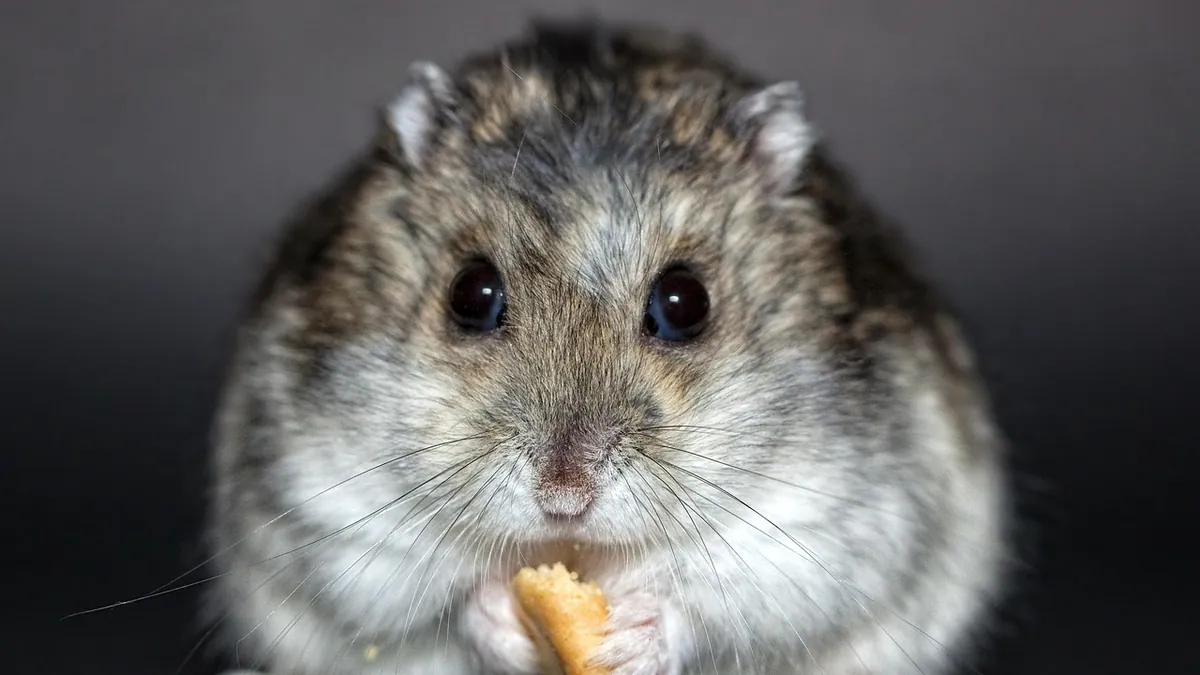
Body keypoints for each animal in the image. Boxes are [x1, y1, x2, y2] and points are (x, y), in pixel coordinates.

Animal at [204, 20, 1010, 675]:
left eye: (685, 303)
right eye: (471, 294)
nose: (564, 498)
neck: (579, 552)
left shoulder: (831, 522)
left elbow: (725, 596)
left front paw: (631, 635)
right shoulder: (326, 505)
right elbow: (431, 593)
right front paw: (505, 619)